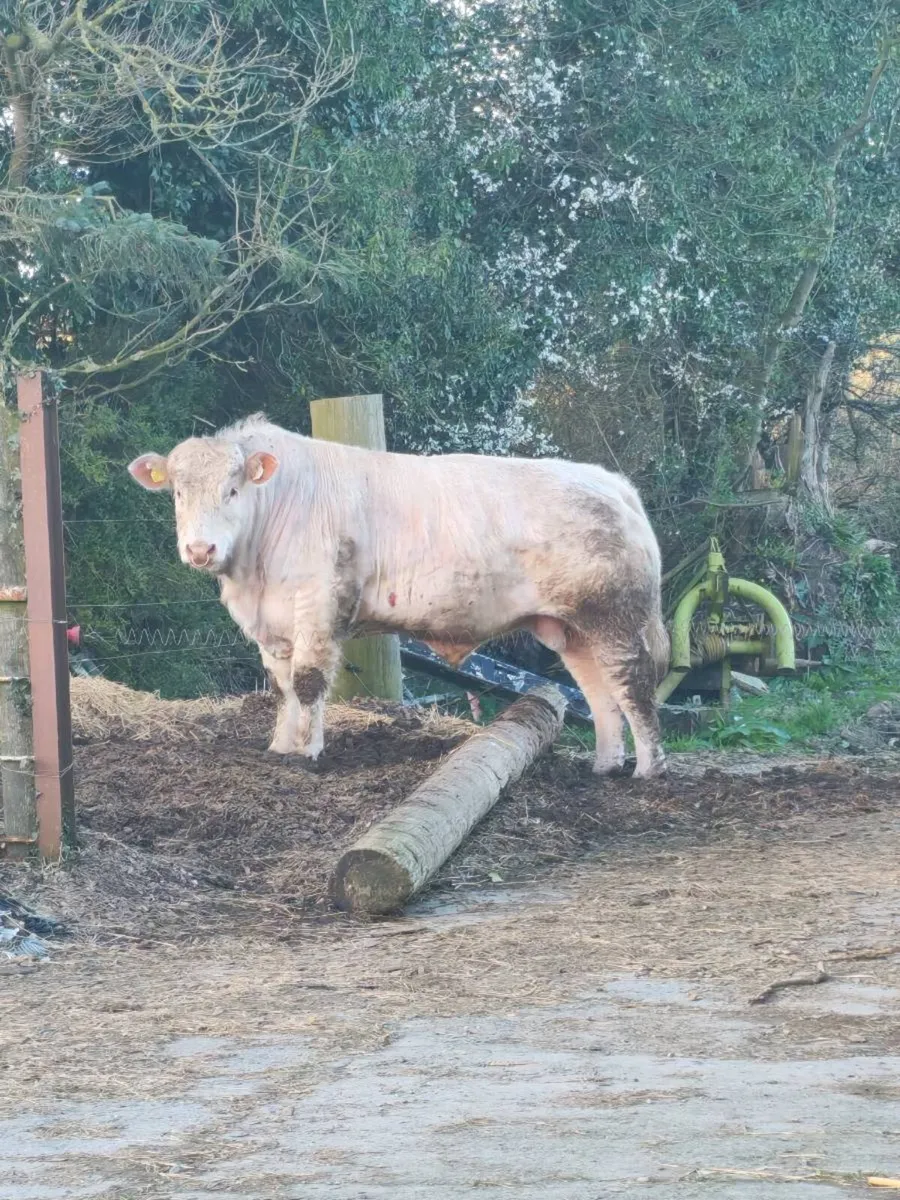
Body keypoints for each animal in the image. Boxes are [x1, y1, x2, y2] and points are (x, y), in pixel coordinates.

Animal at [128, 414, 669, 777]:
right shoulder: (273, 624)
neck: (253, 574)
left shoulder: (318, 605)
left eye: (233, 490)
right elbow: (282, 687)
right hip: (572, 628)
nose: (200, 549)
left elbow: (307, 682)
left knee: (633, 685)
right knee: (599, 694)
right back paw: (605, 764)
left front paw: (308, 753)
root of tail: (610, 482)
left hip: (614, 617)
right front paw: (281, 747)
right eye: (178, 492)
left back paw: (649, 768)